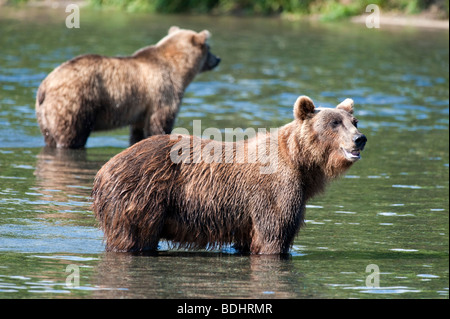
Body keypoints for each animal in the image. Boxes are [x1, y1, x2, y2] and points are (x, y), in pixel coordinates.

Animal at [35, 26, 220, 149]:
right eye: (209, 48)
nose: (218, 59)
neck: (178, 68)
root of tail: (45, 85)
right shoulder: (163, 92)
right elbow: (161, 121)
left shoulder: (142, 110)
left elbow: (137, 132)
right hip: (74, 102)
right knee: (72, 135)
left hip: (45, 116)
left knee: (50, 136)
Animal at [90, 95, 366, 255]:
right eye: (334, 123)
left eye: (354, 121)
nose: (359, 139)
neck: (301, 164)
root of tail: (104, 169)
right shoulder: (274, 190)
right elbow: (274, 236)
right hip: (140, 197)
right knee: (134, 237)